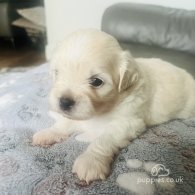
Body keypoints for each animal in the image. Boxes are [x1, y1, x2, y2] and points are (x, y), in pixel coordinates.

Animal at [33, 28, 195, 183]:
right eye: (57, 73)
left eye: (96, 81)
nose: (64, 102)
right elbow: (65, 123)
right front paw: (49, 133)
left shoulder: (127, 122)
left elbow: (103, 139)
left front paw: (90, 162)